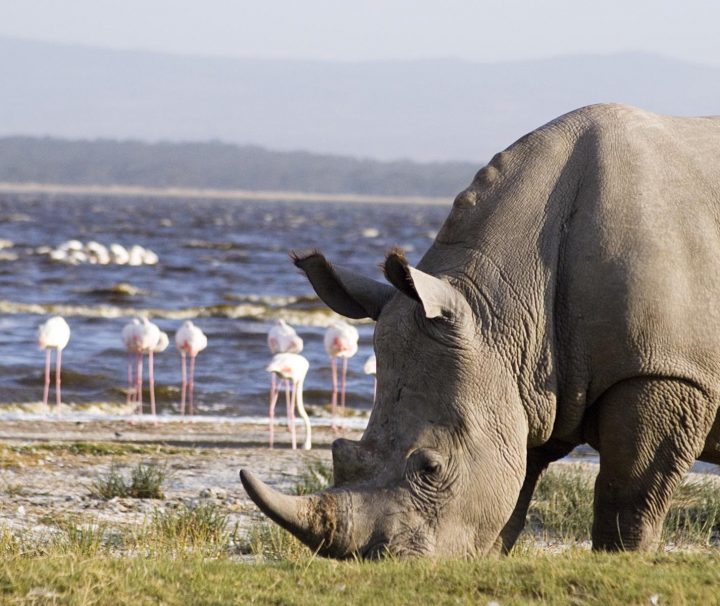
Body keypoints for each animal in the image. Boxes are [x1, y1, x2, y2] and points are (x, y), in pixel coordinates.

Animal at [240, 102, 720, 560]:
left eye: (431, 468)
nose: (380, 561)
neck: (505, 310)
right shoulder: (526, 380)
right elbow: (513, 495)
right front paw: (481, 561)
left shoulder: (668, 371)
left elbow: (628, 498)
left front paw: (619, 560)